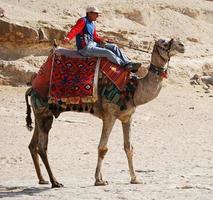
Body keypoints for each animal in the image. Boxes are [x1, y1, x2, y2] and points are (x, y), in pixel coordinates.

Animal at [25, 38, 185, 188]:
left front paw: (135, 179)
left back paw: (43, 179)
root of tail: (32, 88)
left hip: (40, 113)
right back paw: (55, 182)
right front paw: (99, 180)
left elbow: (128, 147)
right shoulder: (110, 114)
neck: (132, 89)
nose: (182, 45)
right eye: (163, 43)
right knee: (42, 147)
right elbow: (103, 148)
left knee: (33, 145)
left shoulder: (127, 117)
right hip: (43, 113)